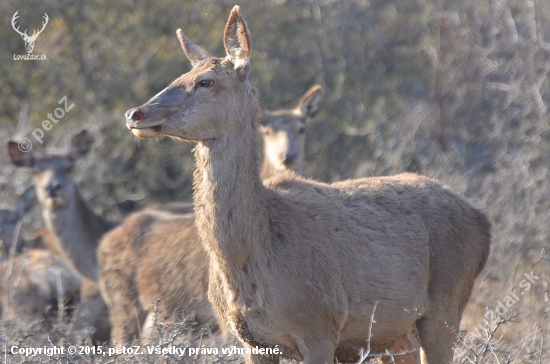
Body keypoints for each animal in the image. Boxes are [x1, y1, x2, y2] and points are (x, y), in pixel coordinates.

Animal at [126, 6, 496, 364]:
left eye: (206, 81)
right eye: (178, 76)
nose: (136, 113)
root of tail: (483, 221)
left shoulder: (320, 326)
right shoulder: (250, 340)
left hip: (447, 303)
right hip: (395, 334)